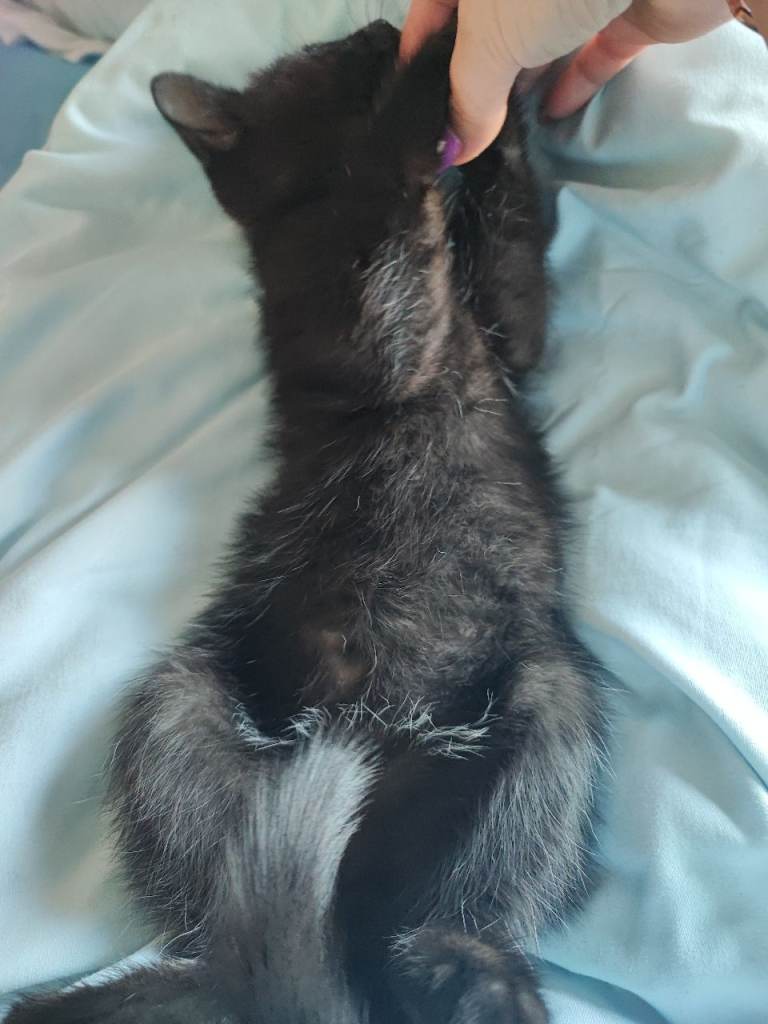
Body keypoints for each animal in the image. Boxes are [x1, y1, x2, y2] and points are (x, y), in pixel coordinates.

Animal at [7, 20, 604, 1024]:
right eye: (326, 52)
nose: (381, 27)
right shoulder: (354, 332)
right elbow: (394, 260)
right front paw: (438, 72)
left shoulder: (507, 332)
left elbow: (511, 239)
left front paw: (496, 108)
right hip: (182, 705)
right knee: (224, 932)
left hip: (543, 706)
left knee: (456, 902)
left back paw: (469, 974)